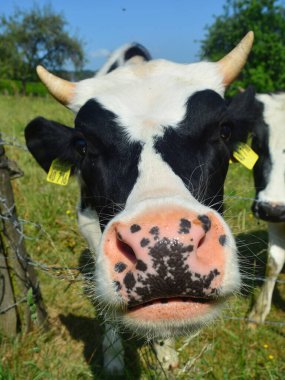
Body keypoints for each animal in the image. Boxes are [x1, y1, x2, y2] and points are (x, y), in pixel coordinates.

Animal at [25, 31, 255, 372]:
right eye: (82, 146)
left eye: (224, 131)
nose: (166, 246)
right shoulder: (89, 226)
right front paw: (113, 358)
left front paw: (166, 354)